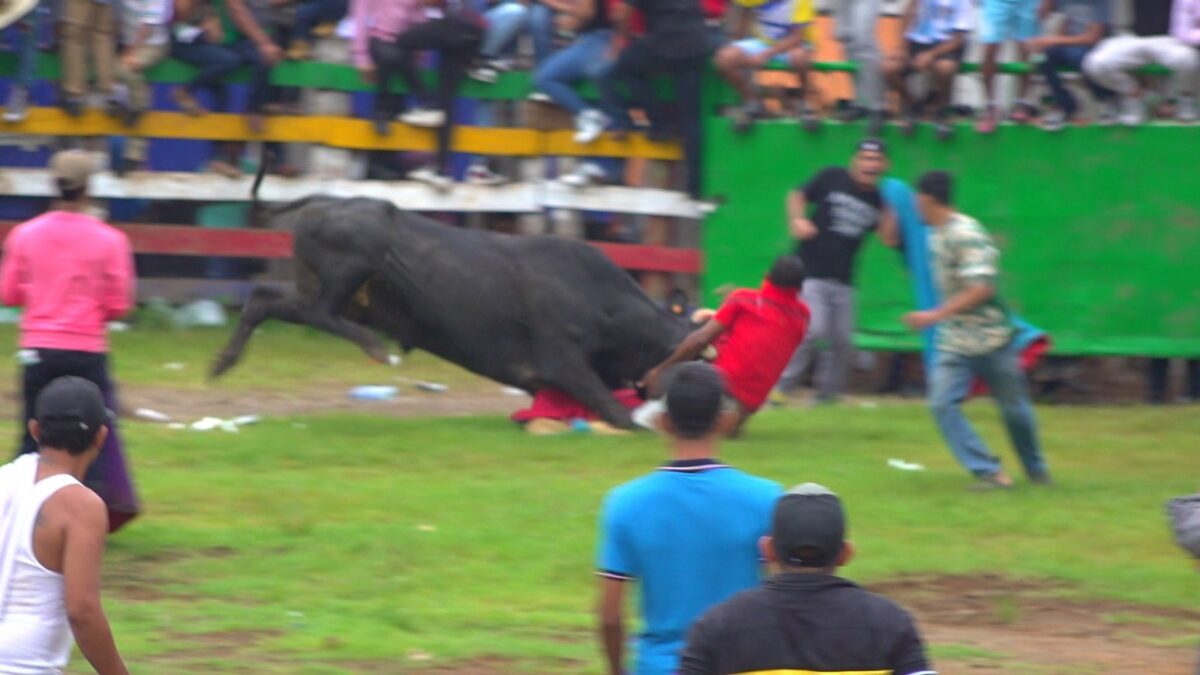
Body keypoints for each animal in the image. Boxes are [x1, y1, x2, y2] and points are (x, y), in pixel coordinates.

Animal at [211, 194, 691, 425]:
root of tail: (322, 203)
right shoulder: (563, 361)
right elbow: (617, 411)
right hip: (354, 265)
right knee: (322, 314)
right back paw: (375, 349)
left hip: (330, 291)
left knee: (266, 297)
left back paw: (222, 363)